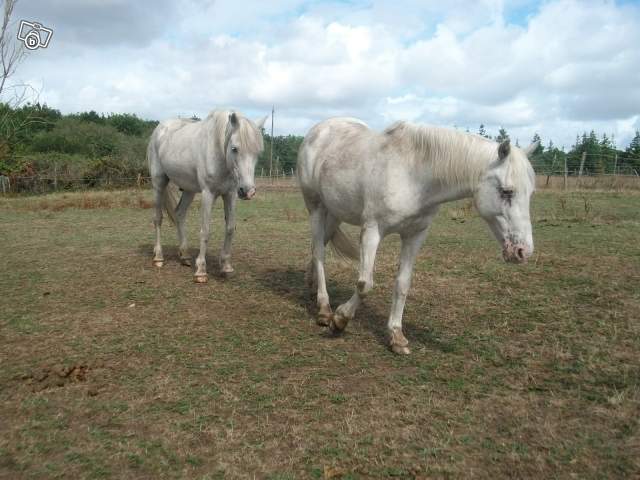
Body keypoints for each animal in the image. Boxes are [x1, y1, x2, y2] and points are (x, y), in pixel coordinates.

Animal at [149, 110, 266, 284]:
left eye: (257, 152)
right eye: (234, 148)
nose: (248, 191)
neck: (218, 151)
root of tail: (160, 129)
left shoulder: (230, 194)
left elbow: (230, 228)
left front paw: (226, 266)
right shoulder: (208, 194)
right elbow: (205, 231)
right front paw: (201, 271)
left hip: (189, 190)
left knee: (179, 214)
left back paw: (184, 256)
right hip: (159, 183)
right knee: (158, 218)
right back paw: (158, 257)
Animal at [298, 118, 536, 354]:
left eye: (530, 192)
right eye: (507, 191)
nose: (523, 252)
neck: (413, 174)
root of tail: (318, 130)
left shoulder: (415, 235)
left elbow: (403, 284)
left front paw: (396, 336)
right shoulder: (372, 231)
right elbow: (365, 284)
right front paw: (339, 320)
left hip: (335, 212)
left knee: (318, 246)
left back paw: (311, 285)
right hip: (316, 207)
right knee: (319, 252)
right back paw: (324, 309)